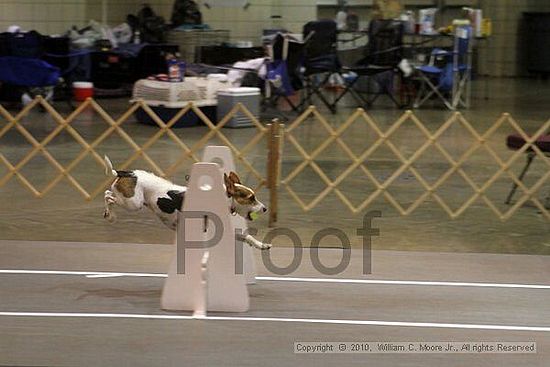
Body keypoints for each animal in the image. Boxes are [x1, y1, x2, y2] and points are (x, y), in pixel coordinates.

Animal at [103, 157, 272, 252]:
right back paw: (111, 216)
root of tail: (128, 173)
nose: (265, 208)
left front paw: (261, 245)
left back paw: (109, 214)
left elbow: (247, 236)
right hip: (134, 203)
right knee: (108, 196)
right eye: (251, 198)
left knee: (108, 193)